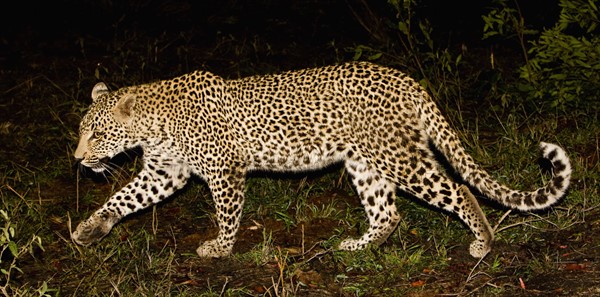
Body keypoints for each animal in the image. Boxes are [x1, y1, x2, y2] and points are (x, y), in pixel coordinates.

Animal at [71, 61, 572, 258]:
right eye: (81, 130)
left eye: (97, 132)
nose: (77, 159)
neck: (152, 126)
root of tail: (405, 78)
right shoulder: (165, 172)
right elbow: (124, 198)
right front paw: (90, 229)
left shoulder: (224, 172)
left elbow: (228, 214)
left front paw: (220, 248)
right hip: (365, 163)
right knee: (388, 213)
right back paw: (357, 247)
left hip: (399, 156)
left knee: (459, 189)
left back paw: (483, 243)